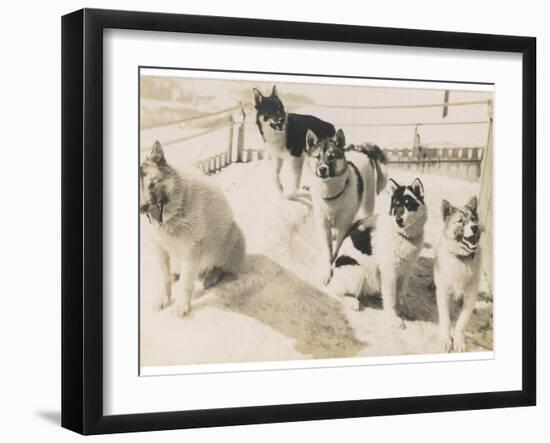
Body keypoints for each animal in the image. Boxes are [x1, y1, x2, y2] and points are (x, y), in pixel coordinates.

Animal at [141, 140, 247, 318]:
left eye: (153, 183)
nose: (141, 208)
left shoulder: (191, 250)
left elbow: (186, 283)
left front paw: (182, 306)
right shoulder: (159, 248)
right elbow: (165, 278)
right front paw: (164, 298)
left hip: (232, 238)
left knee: (222, 268)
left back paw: (211, 277)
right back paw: (177, 274)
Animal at [304, 128, 390, 286]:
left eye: (332, 157)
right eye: (317, 157)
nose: (322, 169)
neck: (332, 195)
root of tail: (361, 150)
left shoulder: (344, 226)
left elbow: (337, 248)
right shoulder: (323, 226)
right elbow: (328, 252)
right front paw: (326, 272)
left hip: (367, 203)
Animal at [436, 198, 484, 354]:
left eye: (473, 219)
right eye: (460, 221)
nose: (475, 227)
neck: (462, 259)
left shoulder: (470, 297)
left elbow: (461, 323)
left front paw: (458, 341)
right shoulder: (443, 294)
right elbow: (446, 320)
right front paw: (446, 340)